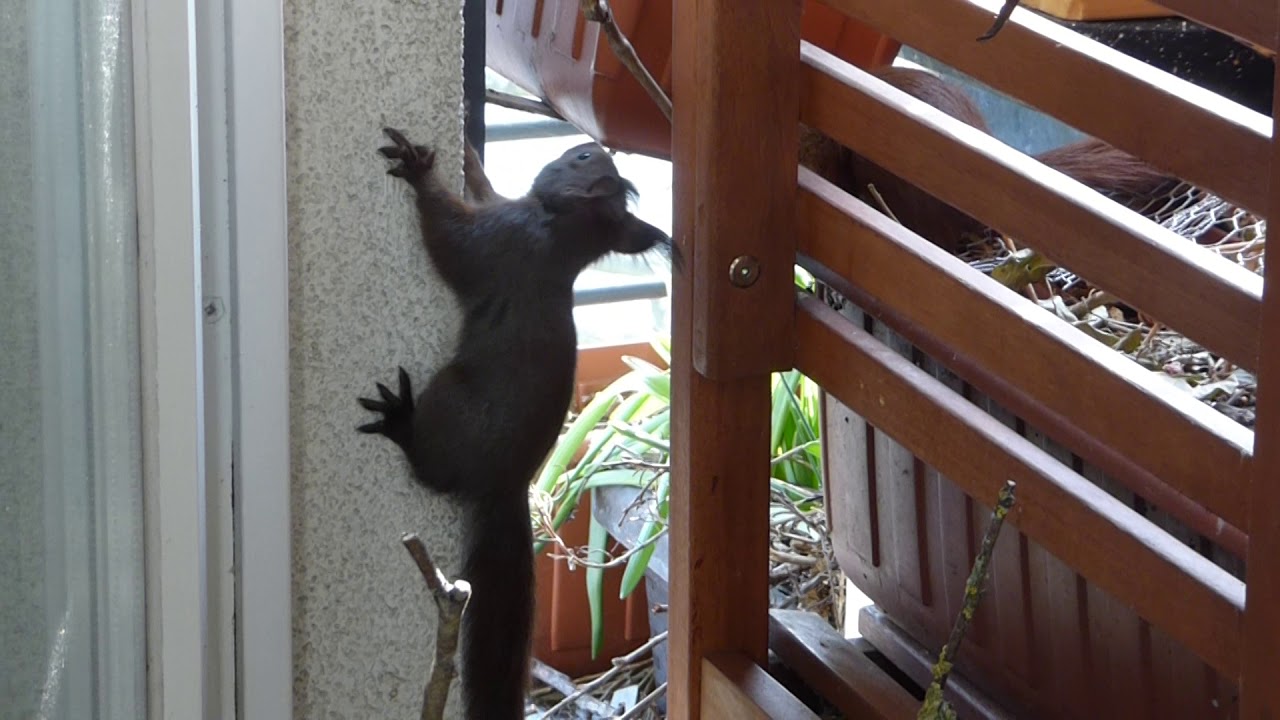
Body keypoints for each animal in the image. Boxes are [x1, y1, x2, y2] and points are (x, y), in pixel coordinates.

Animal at [356, 128, 671, 719]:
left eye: (582, 157)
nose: (591, 143)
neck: (559, 237)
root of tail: (503, 484)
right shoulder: (504, 217)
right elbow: (484, 189)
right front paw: (469, 157)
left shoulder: (499, 241)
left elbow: (447, 236)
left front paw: (420, 171)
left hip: (447, 398)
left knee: (428, 467)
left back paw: (402, 422)